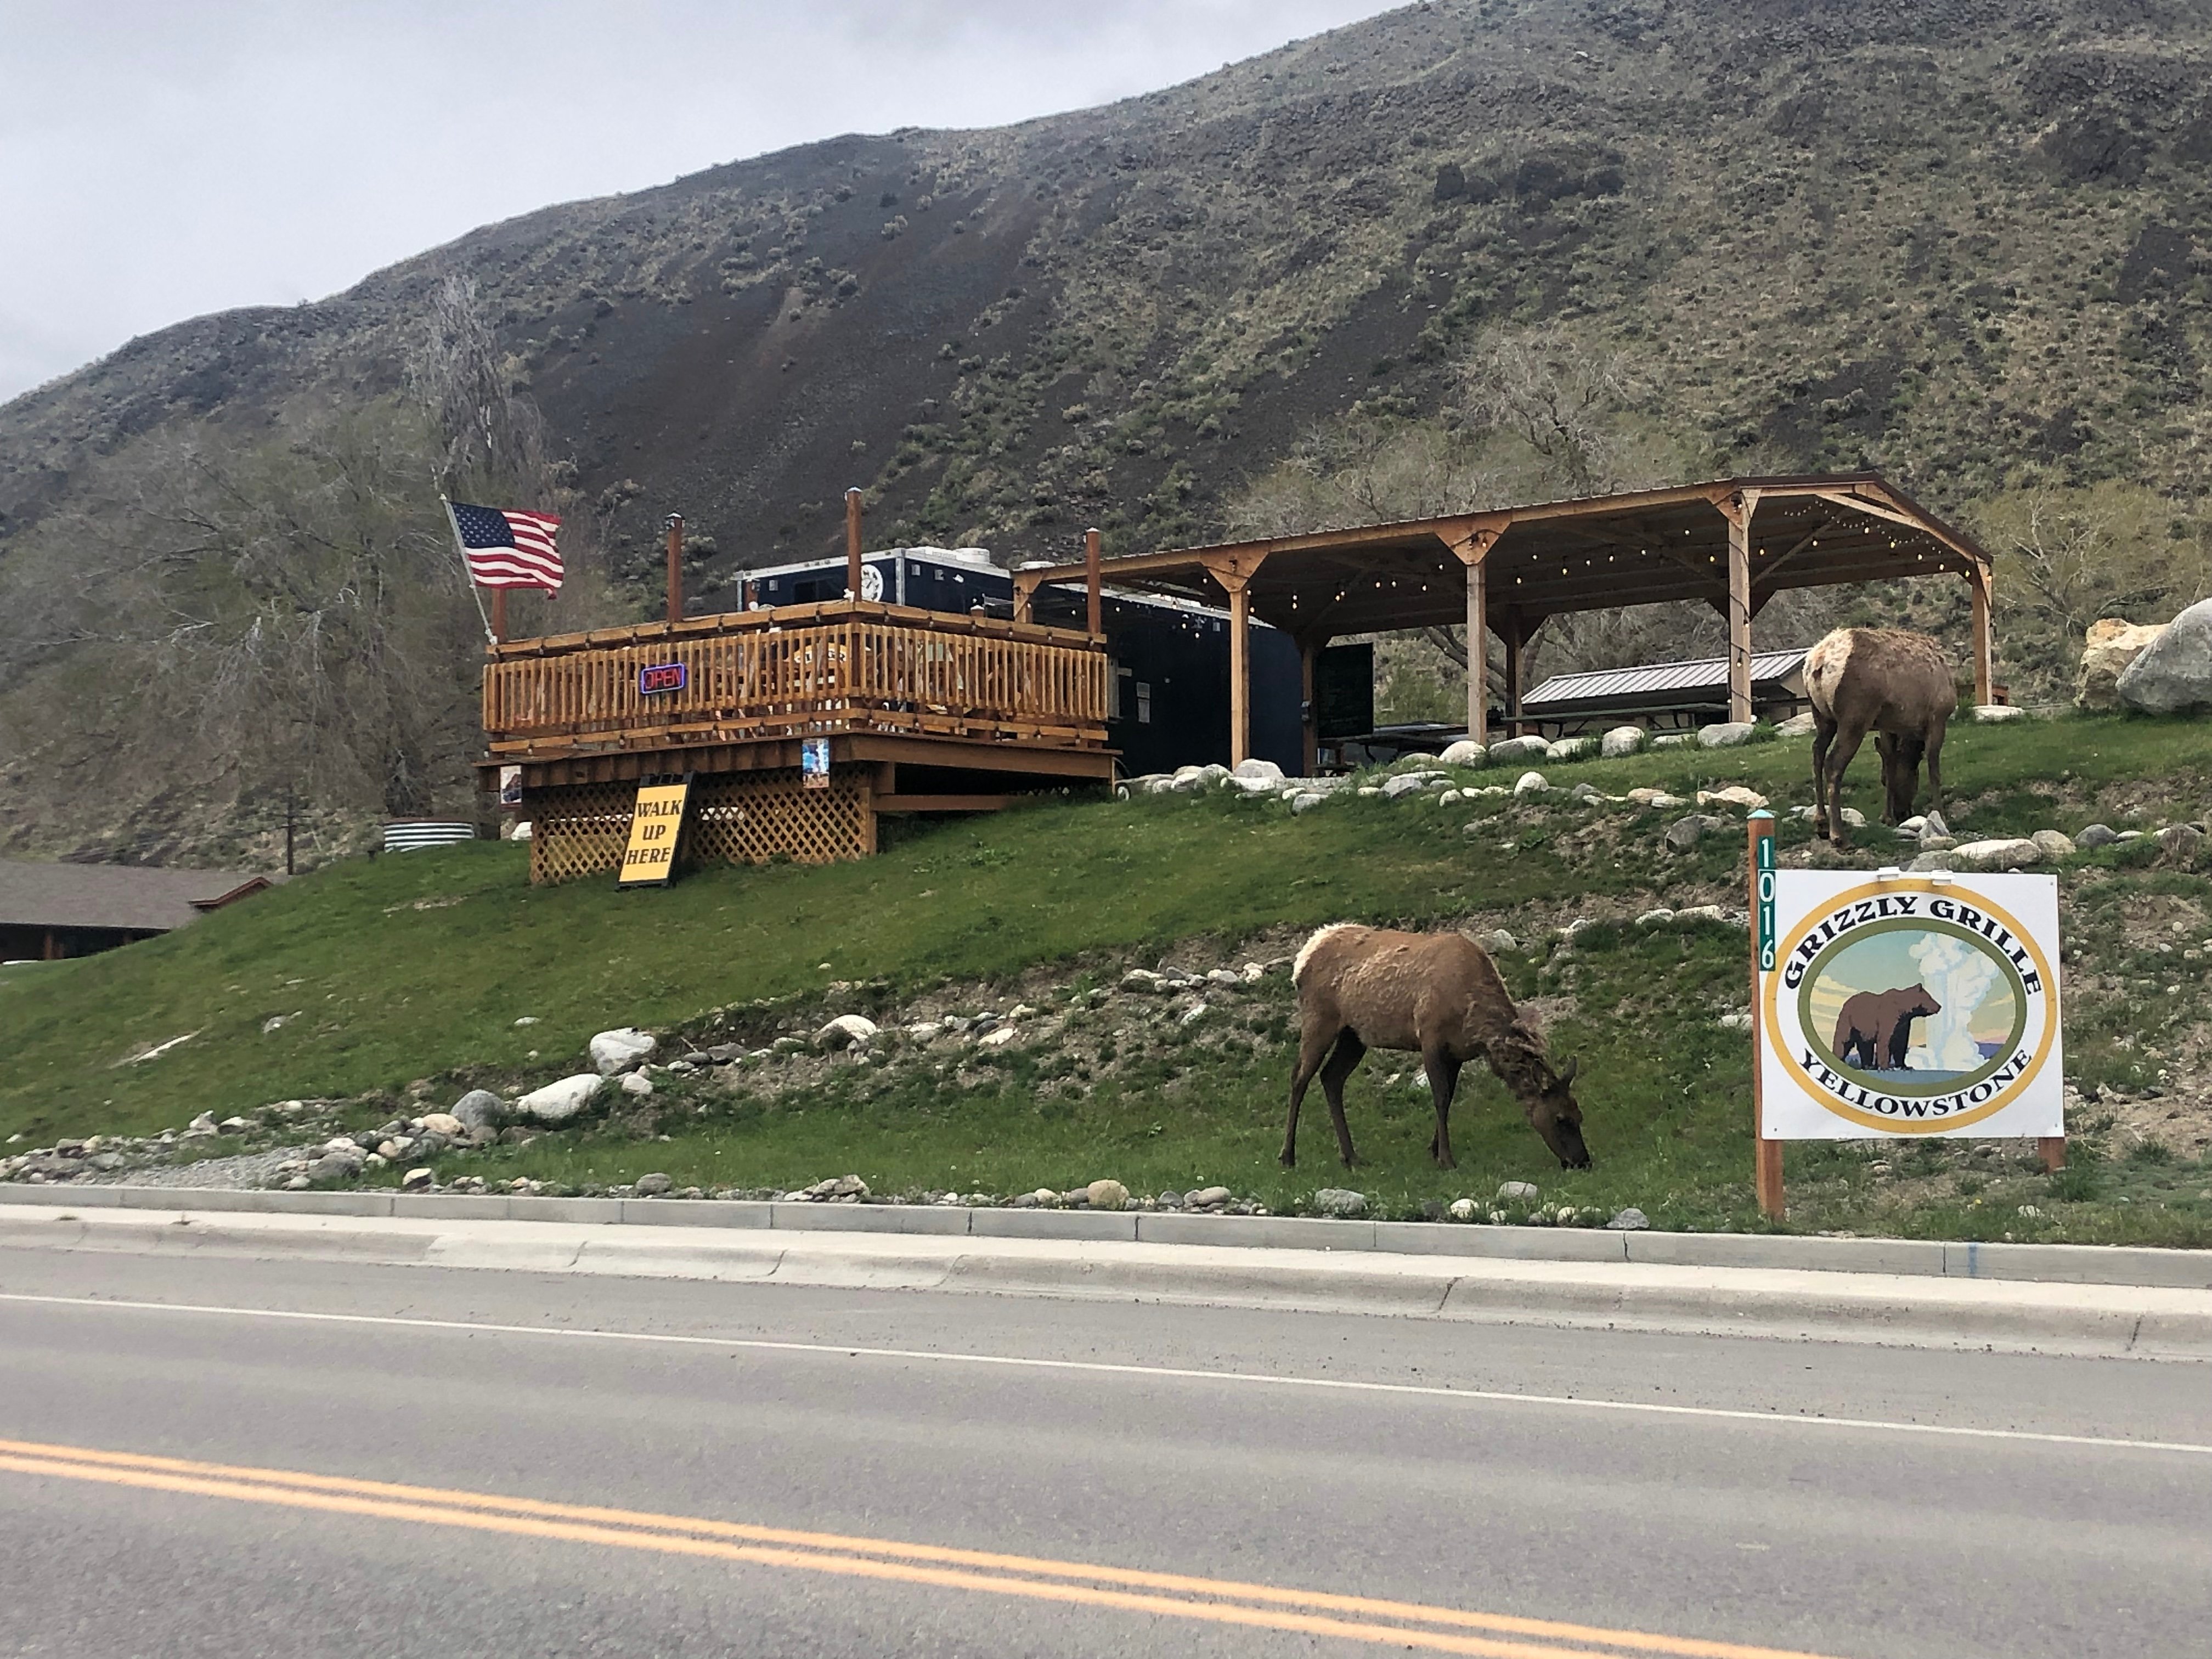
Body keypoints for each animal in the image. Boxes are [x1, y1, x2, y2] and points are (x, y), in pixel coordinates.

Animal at [1283, 929, 1593, 1177]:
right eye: (1560, 1119)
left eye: (1579, 1115)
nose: (1583, 1162)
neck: (1473, 1020)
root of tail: (1303, 958)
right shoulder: (1430, 1038)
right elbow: (1441, 1097)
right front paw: (1446, 1159)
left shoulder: (1457, 1052)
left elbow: (1449, 1097)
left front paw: (1433, 1150)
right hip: (1319, 1018)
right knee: (1300, 1076)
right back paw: (1288, 1156)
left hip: (1354, 1034)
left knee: (1331, 1077)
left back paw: (1350, 1157)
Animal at [1805, 628, 1964, 849]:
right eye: (1914, 778)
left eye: (1881, 781)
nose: (1902, 812)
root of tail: (1820, 659)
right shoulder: (1938, 717)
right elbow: (1934, 769)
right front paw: (1940, 816)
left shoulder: (1889, 727)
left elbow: (1889, 762)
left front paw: (1887, 817)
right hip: (1855, 717)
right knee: (1833, 764)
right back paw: (1839, 836)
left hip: (1822, 717)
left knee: (1817, 753)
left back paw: (1820, 823)